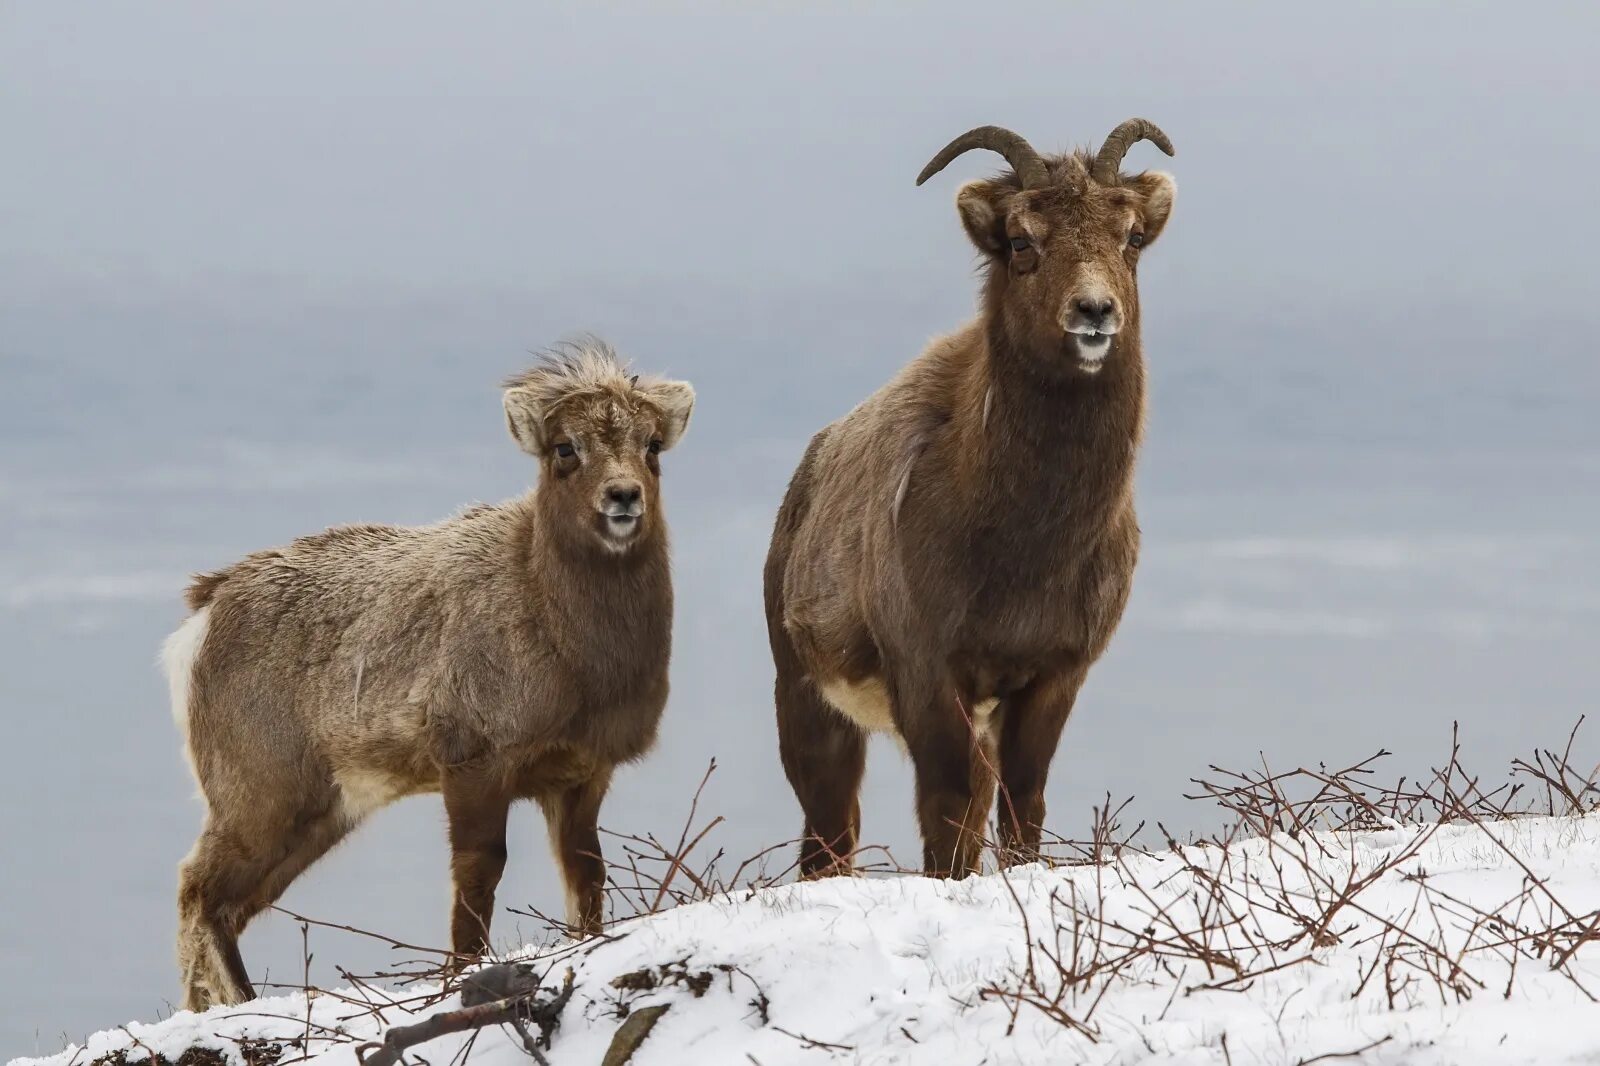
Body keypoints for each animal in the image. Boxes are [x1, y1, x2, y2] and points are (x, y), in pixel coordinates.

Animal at [162, 340, 694, 1005]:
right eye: (564, 448)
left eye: (652, 445)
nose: (623, 496)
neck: (577, 662)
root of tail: (194, 629)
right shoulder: (470, 755)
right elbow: (477, 875)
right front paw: (458, 977)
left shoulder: (582, 770)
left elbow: (585, 875)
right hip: (257, 789)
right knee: (198, 888)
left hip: (320, 808)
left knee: (224, 903)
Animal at [768, 120, 1184, 877]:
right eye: (1021, 240)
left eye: (1131, 235)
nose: (1094, 312)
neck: (1022, 555)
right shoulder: (930, 673)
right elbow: (948, 814)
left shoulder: (1050, 678)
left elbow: (1022, 805)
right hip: (809, 704)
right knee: (829, 835)